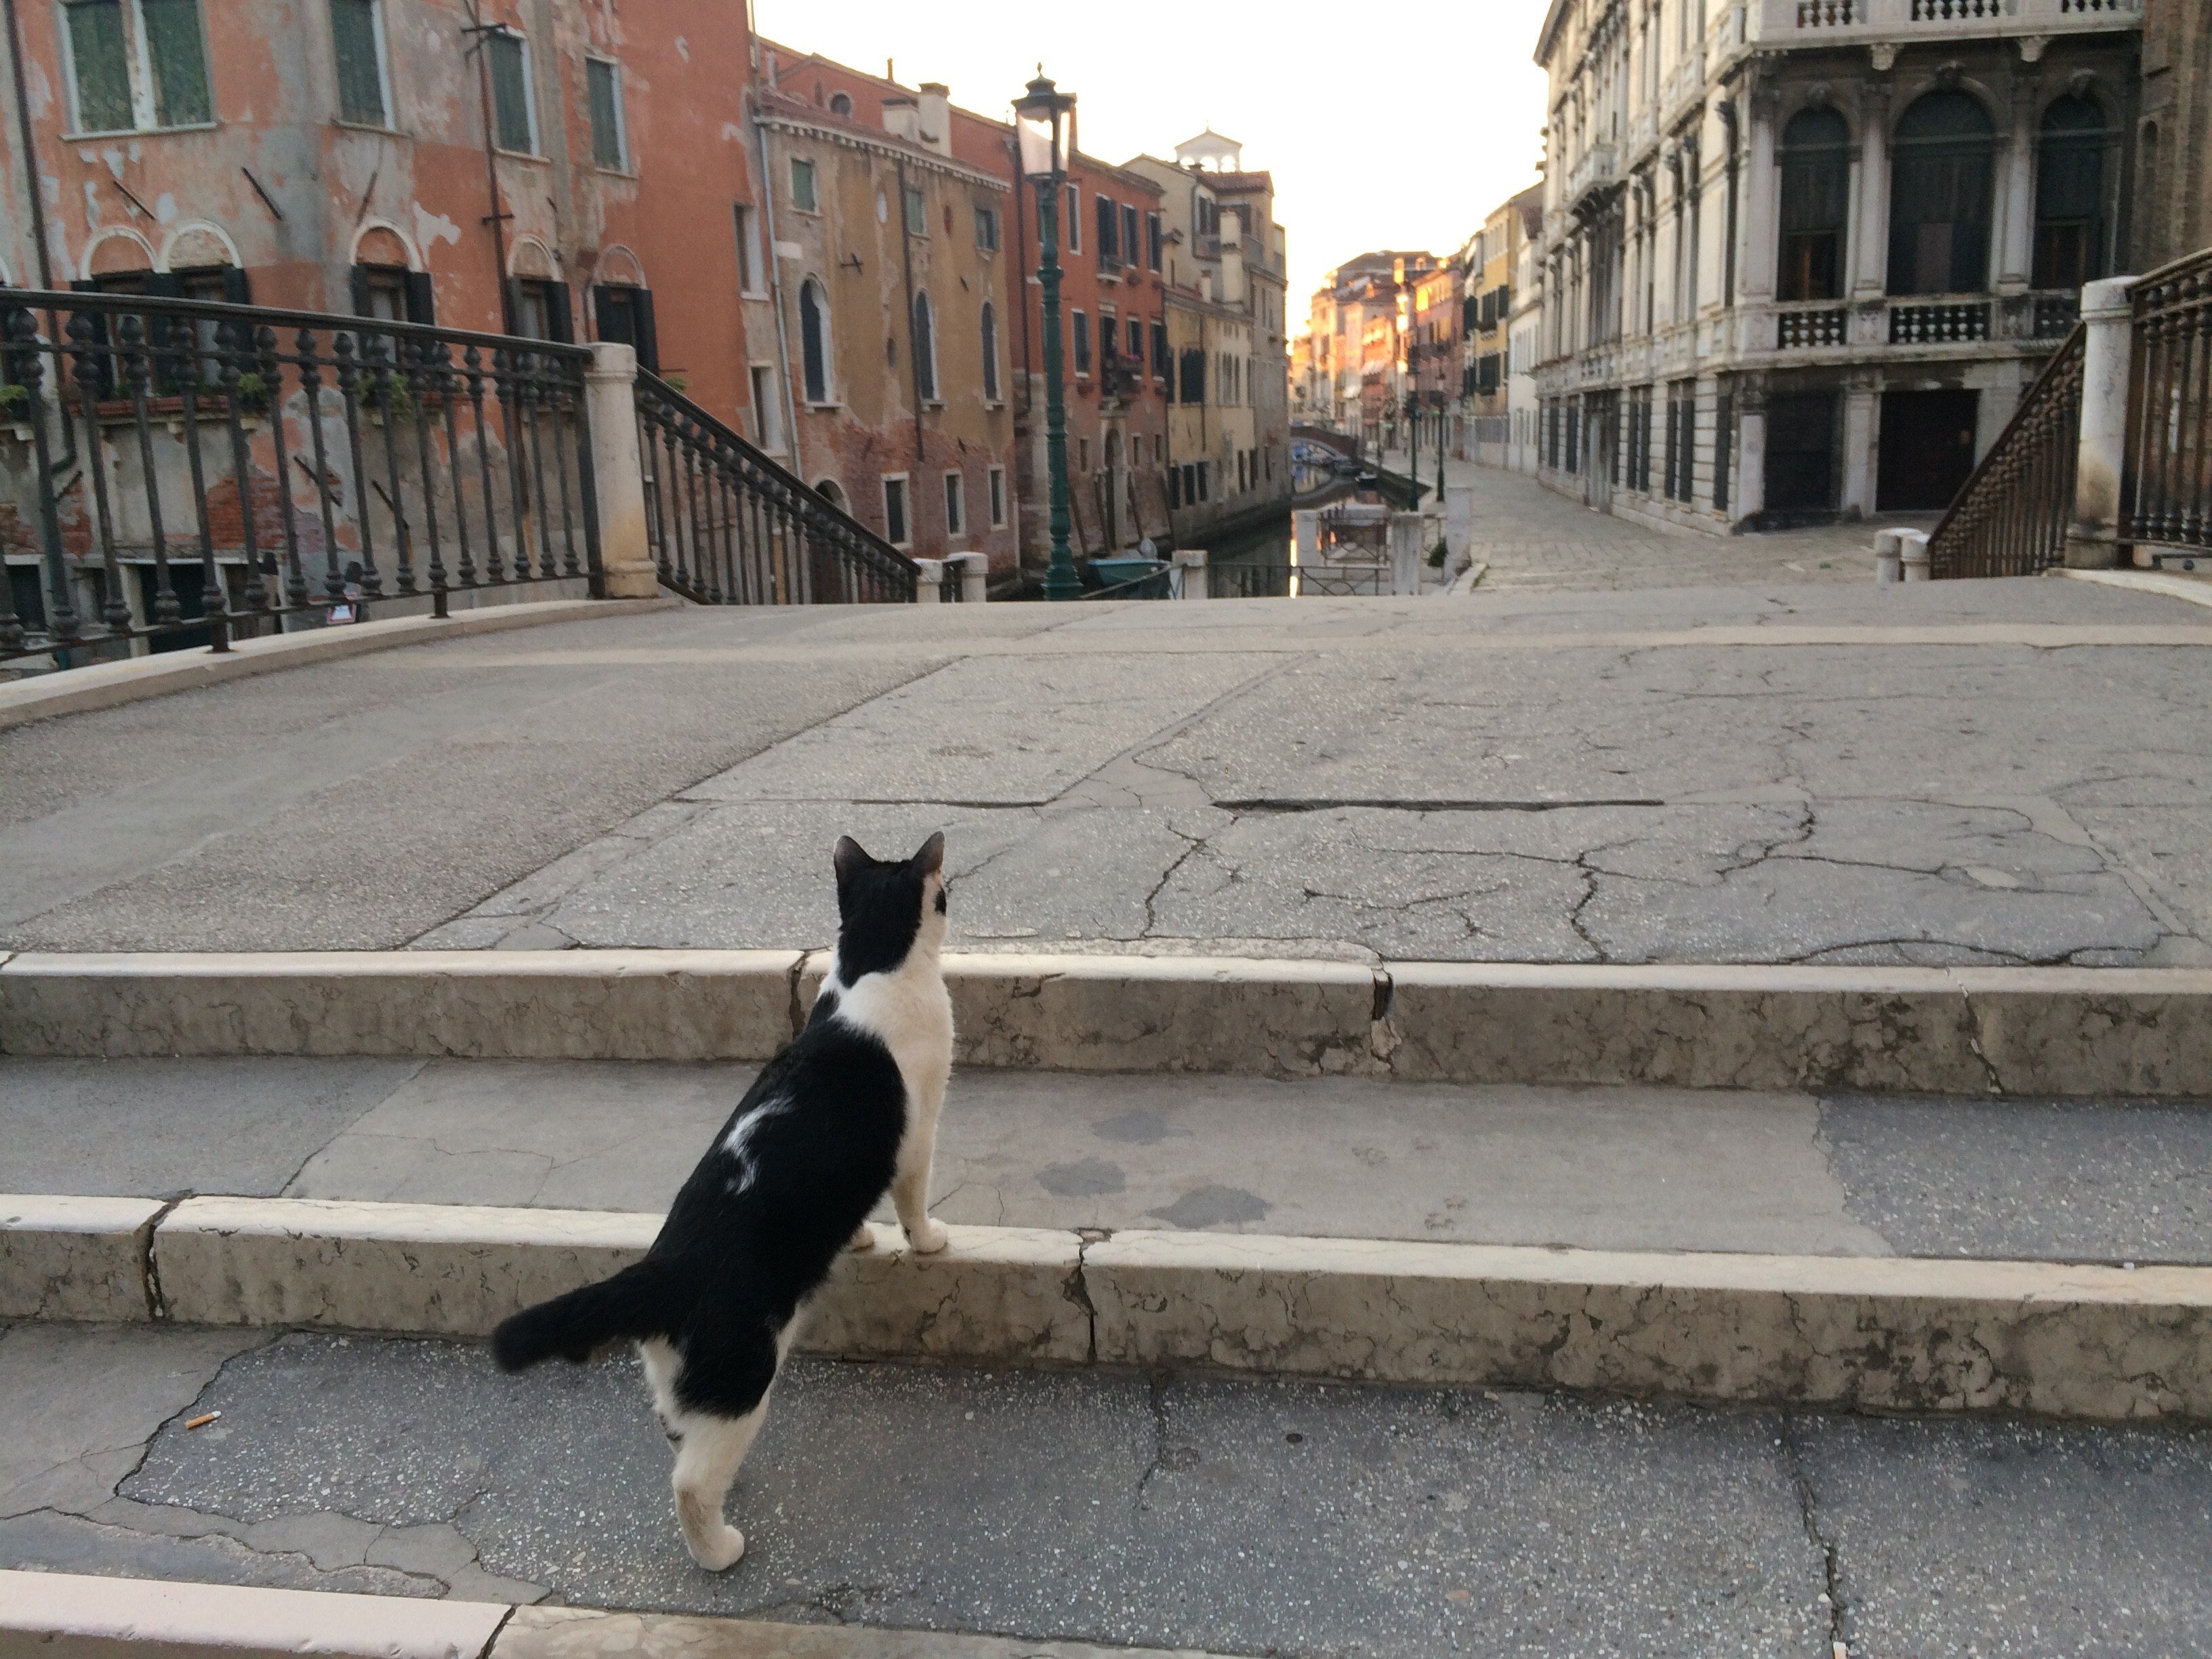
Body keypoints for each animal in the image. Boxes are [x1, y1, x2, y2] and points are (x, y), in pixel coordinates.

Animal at [493, 832, 951, 1574]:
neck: (871, 967)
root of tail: (662, 1270)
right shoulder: (918, 1137)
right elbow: (911, 1198)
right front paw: (929, 1239)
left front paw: (855, 1238)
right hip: (743, 1372)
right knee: (690, 1483)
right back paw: (719, 1549)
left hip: (687, 1383)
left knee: (678, 1433)